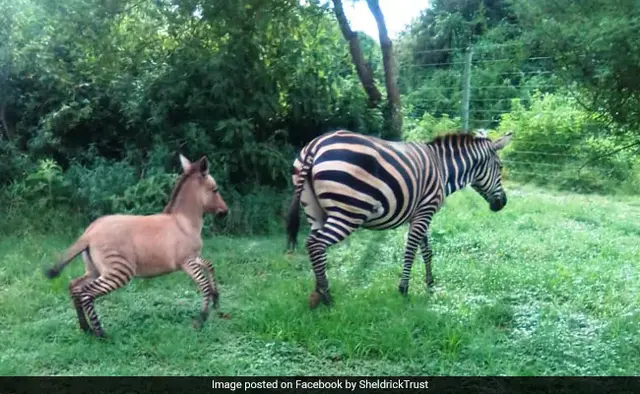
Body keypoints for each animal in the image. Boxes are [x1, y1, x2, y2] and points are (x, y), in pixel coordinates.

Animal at [284, 129, 516, 308]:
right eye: (500, 167)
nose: (503, 203)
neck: (443, 169)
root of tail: (315, 145)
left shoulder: (420, 213)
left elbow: (426, 250)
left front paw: (430, 283)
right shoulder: (425, 211)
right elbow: (411, 250)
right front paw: (404, 289)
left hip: (314, 211)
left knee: (315, 247)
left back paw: (316, 293)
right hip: (349, 212)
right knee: (315, 244)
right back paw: (327, 296)